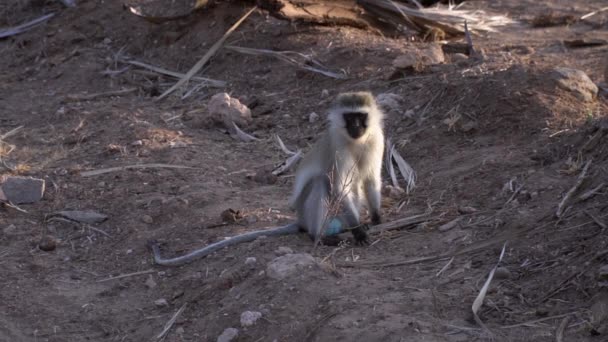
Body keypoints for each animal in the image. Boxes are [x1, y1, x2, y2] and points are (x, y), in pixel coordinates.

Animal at [148, 91, 384, 268]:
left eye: (360, 117)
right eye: (349, 118)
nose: (356, 127)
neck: (356, 141)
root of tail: (301, 219)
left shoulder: (377, 139)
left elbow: (371, 179)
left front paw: (376, 218)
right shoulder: (337, 147)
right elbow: (339, 187)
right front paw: (359, 232)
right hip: (309, 212)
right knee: (320, 183)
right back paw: (319, 236)